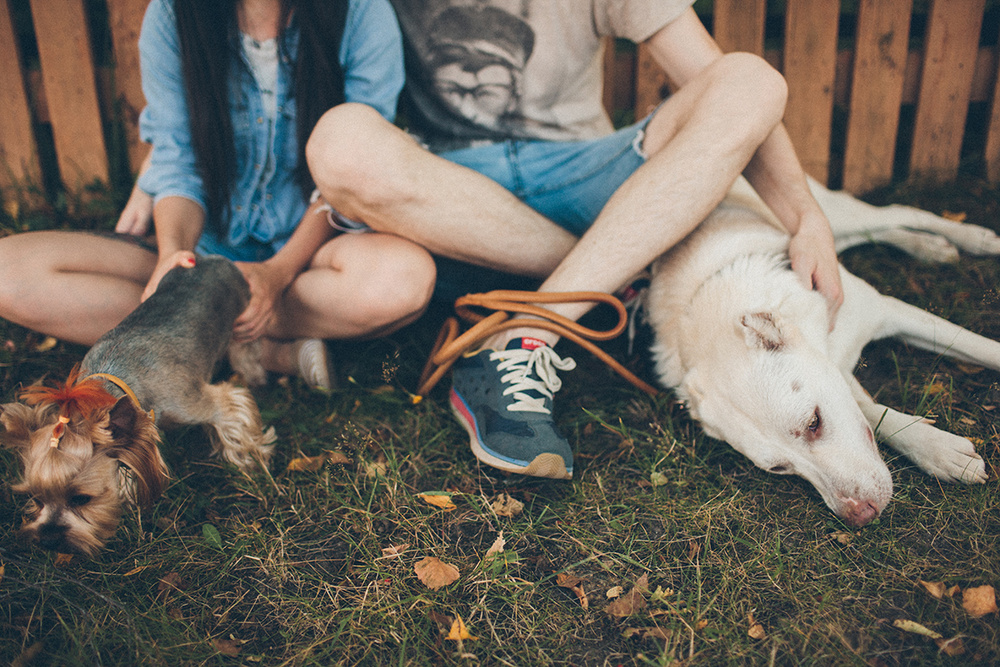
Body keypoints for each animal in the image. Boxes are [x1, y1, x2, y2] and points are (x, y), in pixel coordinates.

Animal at [644, 177, 996, 528]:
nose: (860, 515)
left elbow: (984, 349)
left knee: (897, 213)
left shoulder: (890, 313)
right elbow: (872, 414)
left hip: (832, 212)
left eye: (813, 422)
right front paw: (939, 451)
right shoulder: (840, 373)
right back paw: (929, 246)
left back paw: (972, 238)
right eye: (779, 468)